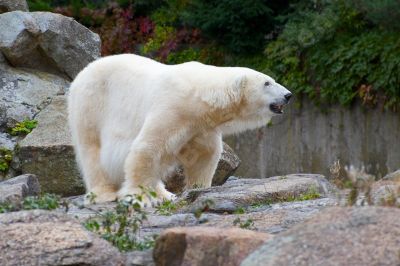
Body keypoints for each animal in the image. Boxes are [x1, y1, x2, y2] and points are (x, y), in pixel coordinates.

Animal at [67, 54, 290, 204]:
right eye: (267, 83)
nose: (288, 95)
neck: (199, 93)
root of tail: (82, 73)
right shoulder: (172, 107)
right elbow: (147, 147)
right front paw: (141, 196)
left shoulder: (200, 125)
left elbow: (205, 154)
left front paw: (199, 188)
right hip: (91, 105)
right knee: (92, 150)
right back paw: (104, 193)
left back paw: (164, 192)